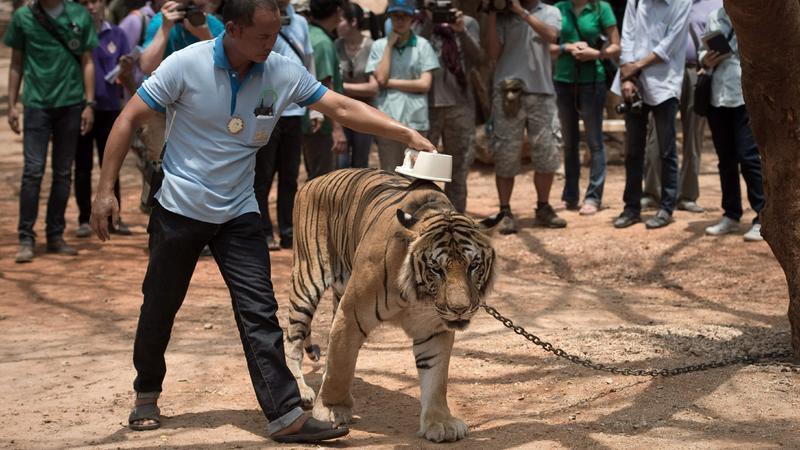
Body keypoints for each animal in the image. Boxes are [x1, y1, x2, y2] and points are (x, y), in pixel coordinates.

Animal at [284, 167, 504, 442]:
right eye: (437, 269)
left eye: (473, 265)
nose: (460, 309)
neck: (419, 296)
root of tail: (315, 180)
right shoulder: (351, 315)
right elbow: (341, 365)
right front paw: (331, 410)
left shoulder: (434, 329)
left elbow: (436, 377)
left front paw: (440, 422)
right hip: (306, 280)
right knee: (292, 341)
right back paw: (301, 389)